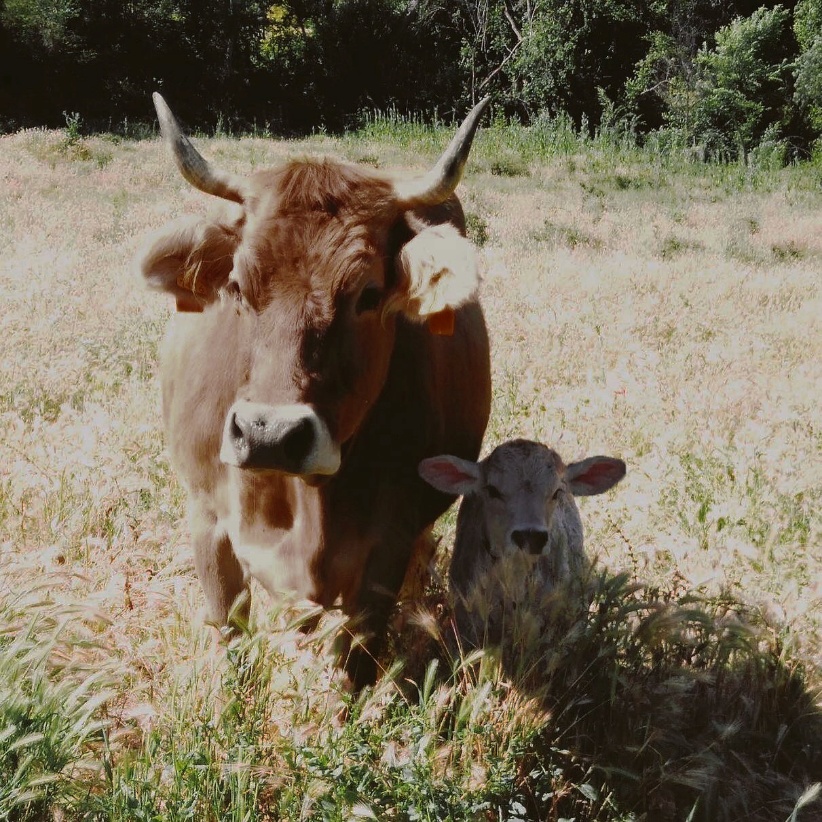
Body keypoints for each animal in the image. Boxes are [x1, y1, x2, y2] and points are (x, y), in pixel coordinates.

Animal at [138, 93, 492, 688]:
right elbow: (230, 640)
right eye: (238, 285)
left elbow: (354, 666)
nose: (269, 435)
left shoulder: (386, 549)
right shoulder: (207, 522)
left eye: (368, 294)